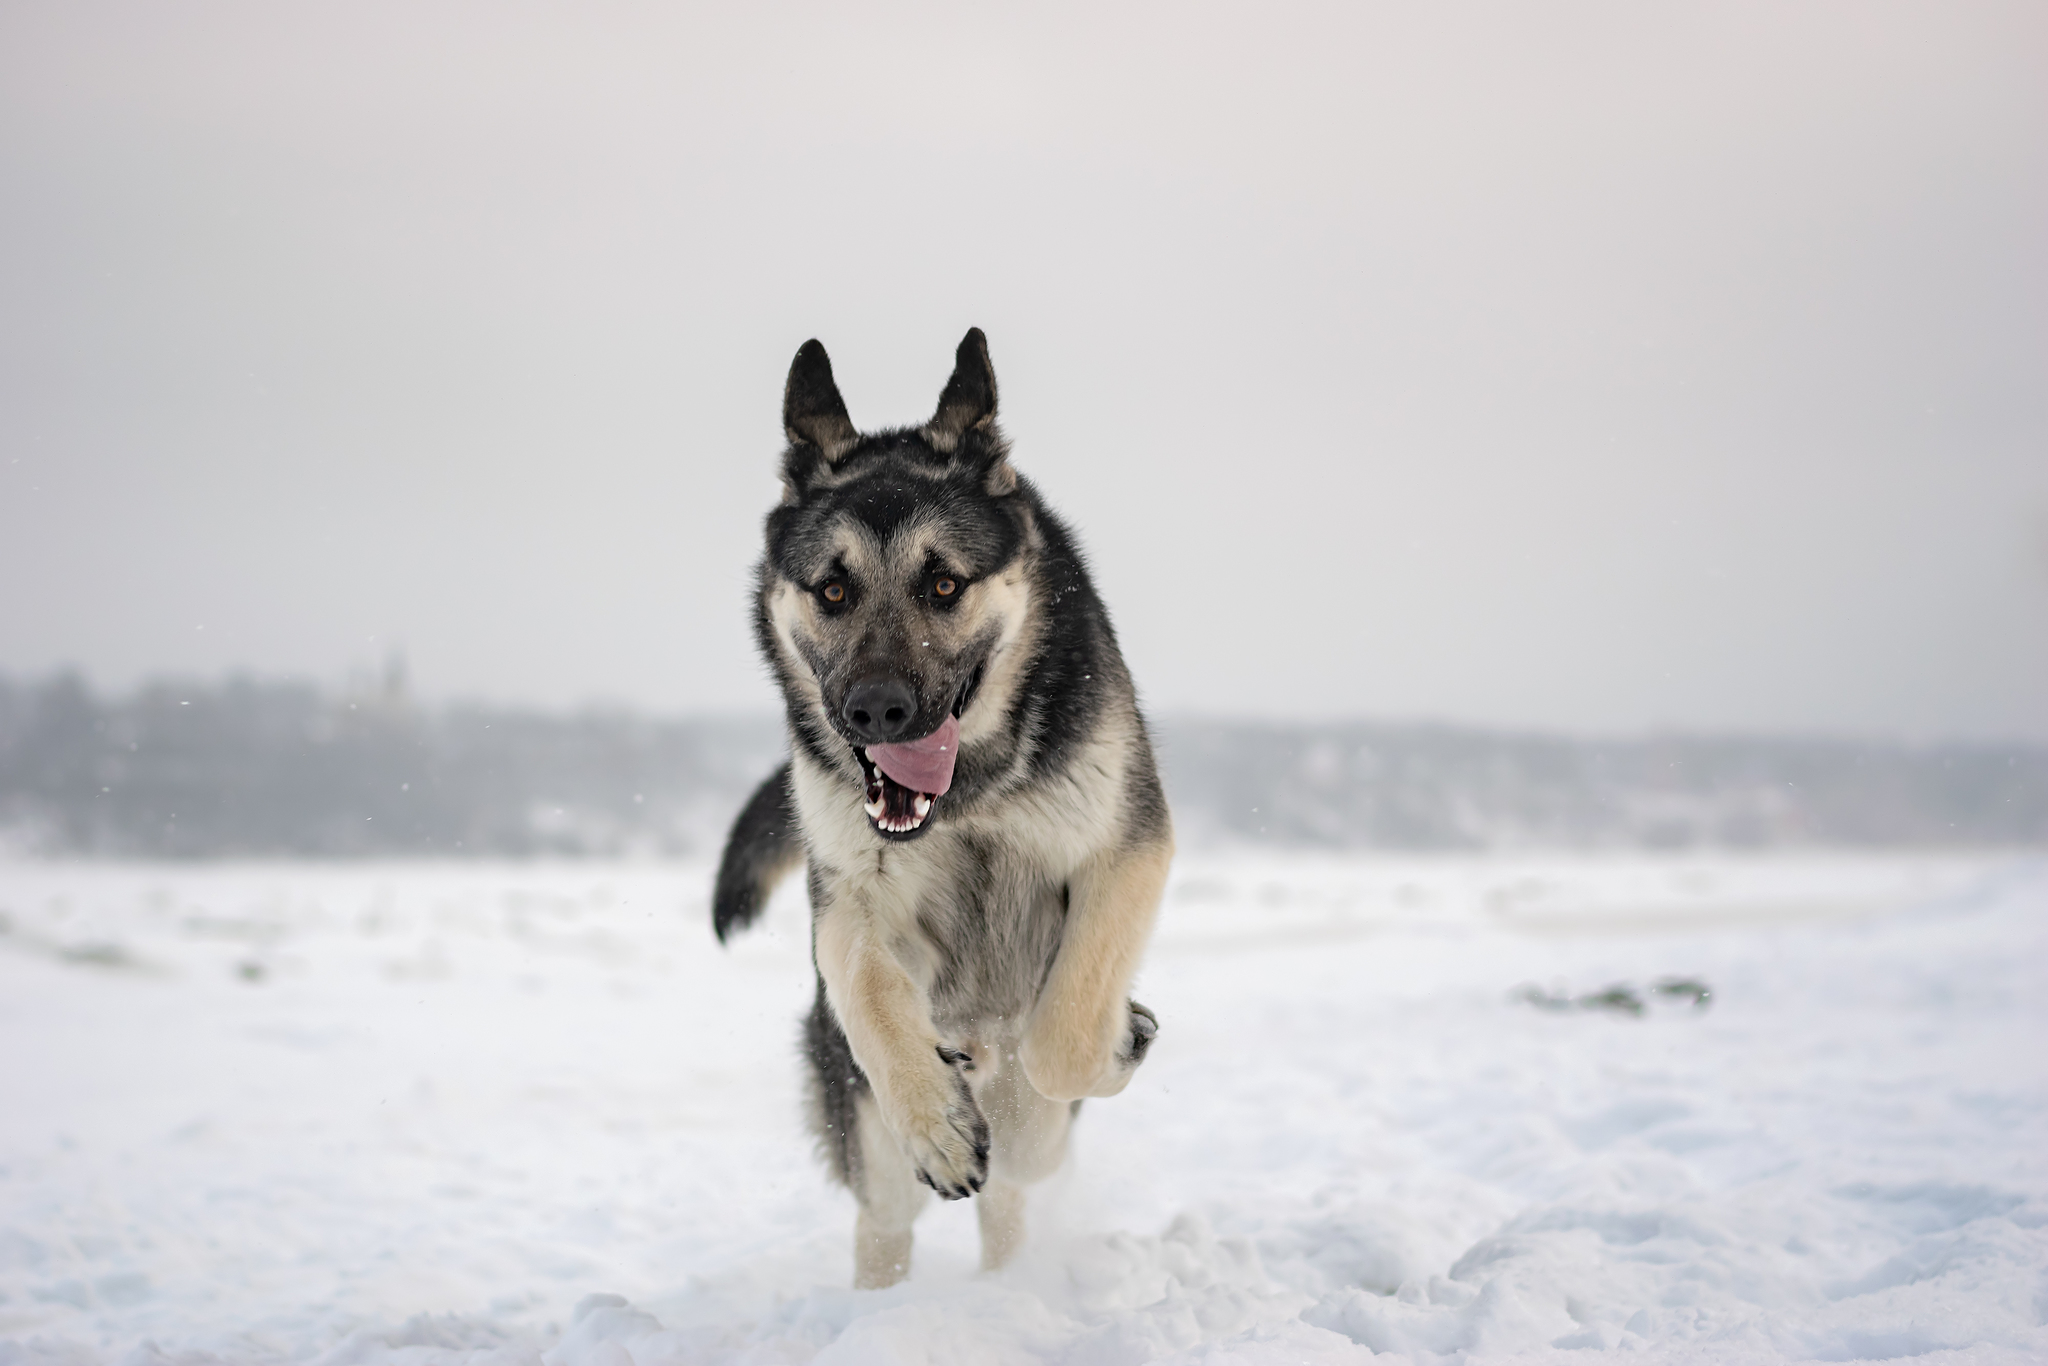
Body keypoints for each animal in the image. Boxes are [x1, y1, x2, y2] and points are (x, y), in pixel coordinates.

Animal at [716, 331, 1171, 1294]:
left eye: (943, 585)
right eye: (834, 590)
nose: (878, 711)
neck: (967, 801)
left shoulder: (1126, 849)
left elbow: (1064, 1037)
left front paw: (1105, 1052)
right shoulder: (850, 899)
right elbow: (869, 990)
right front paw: (938, 1120)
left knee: (1017, 1181)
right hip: (863, 1133)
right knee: (885, 1219)